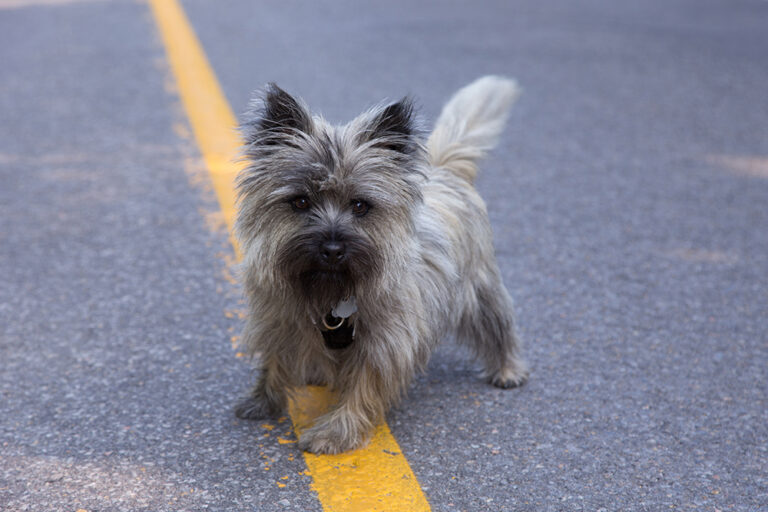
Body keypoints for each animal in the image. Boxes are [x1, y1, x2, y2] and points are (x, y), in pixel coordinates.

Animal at [232, 75, 528, 452]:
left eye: (360, 205)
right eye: (300, 201)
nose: (332, 248)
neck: (332, 292)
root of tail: (446, 170)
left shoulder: (385, 341)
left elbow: (363, 386)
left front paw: (336, 432)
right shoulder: (278, 320)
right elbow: (274, 362)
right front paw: (262, 401)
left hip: (480, 289)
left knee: (499, 327)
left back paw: (508, 370)